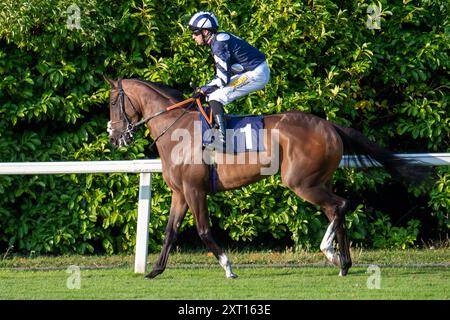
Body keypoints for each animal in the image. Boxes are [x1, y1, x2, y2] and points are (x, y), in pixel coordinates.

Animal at [106, 77, 428, 278]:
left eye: (111, 103)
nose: (114, 137)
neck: (176, 128)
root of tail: (330, 125)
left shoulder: (195, 190)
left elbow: (203, 231)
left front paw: (228, 267)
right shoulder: (180, 192)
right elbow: (170, 232)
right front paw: (155, 270)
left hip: (301, 182)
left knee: (339, 206)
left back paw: (335, 256)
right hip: (318, 180)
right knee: (336, 208)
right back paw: (340, 260)